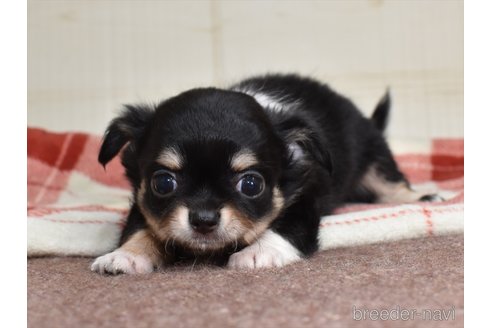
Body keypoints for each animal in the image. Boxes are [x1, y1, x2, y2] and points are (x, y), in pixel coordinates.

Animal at [90, 73, 440, 274]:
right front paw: (125, 256)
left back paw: (423, 196)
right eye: (164, 182)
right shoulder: (142, 201)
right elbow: (140, 227)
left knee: (390, 182)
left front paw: (259, 252)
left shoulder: (304, 197)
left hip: (373, 153)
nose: (204, 219)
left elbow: (285, 226)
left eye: (251, 184)